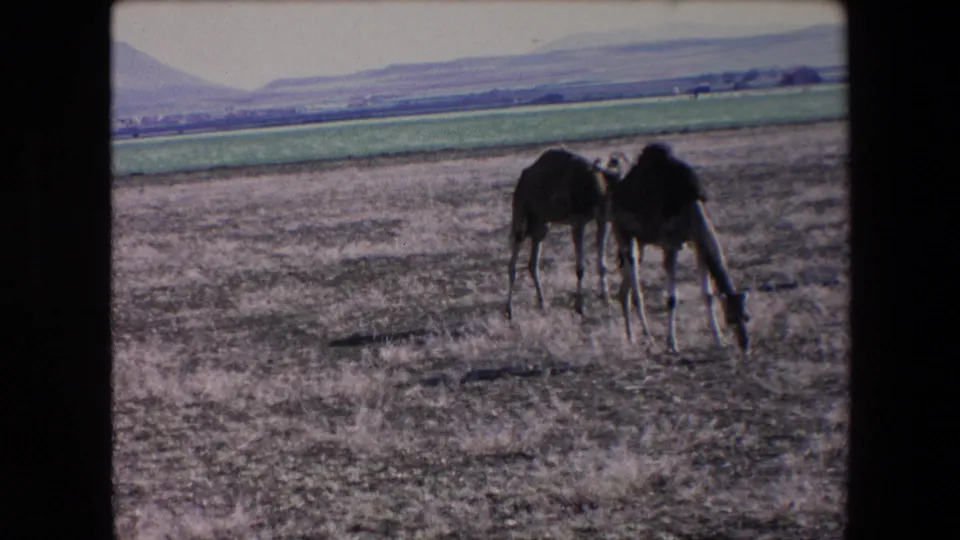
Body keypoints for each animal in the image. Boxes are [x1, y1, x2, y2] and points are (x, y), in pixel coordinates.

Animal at [504, 148, 623, 320]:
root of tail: (521, 181)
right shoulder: (578, 221)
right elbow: (580, 268)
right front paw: (580, 307)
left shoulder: (602, 219)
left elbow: (602, 265)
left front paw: (606, 299)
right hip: (522, 215)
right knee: (514, 259)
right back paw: (509, 310)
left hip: (541, 225)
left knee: (532, 263)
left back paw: (542, 303)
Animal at [609, 142, 751, 354]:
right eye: (730, 318)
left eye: (746, 316)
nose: (745, 344)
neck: (691, 205)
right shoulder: (671, 245)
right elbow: (672, 298)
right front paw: (672, 344)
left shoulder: (697, 244)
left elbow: (708, 295)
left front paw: (720, 341)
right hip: (621, 232)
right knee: (634, 278)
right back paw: (648, 337)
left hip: (640, 240)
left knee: (624, 286)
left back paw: (631, 337)